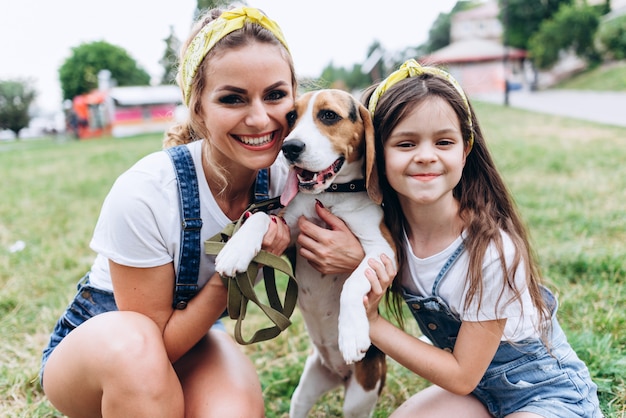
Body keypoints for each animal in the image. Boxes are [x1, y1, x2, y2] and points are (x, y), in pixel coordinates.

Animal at [212, 90, 392, 416]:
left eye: (329, 116)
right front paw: (236, 249)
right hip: (306, 389)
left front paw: (351, 333)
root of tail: (337, 374)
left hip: (359, 398)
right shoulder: (289, 231)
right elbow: (260, 216)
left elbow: (352, 283)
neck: (331, 195)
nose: (289, 147)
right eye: (291, 117)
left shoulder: (384, 252)